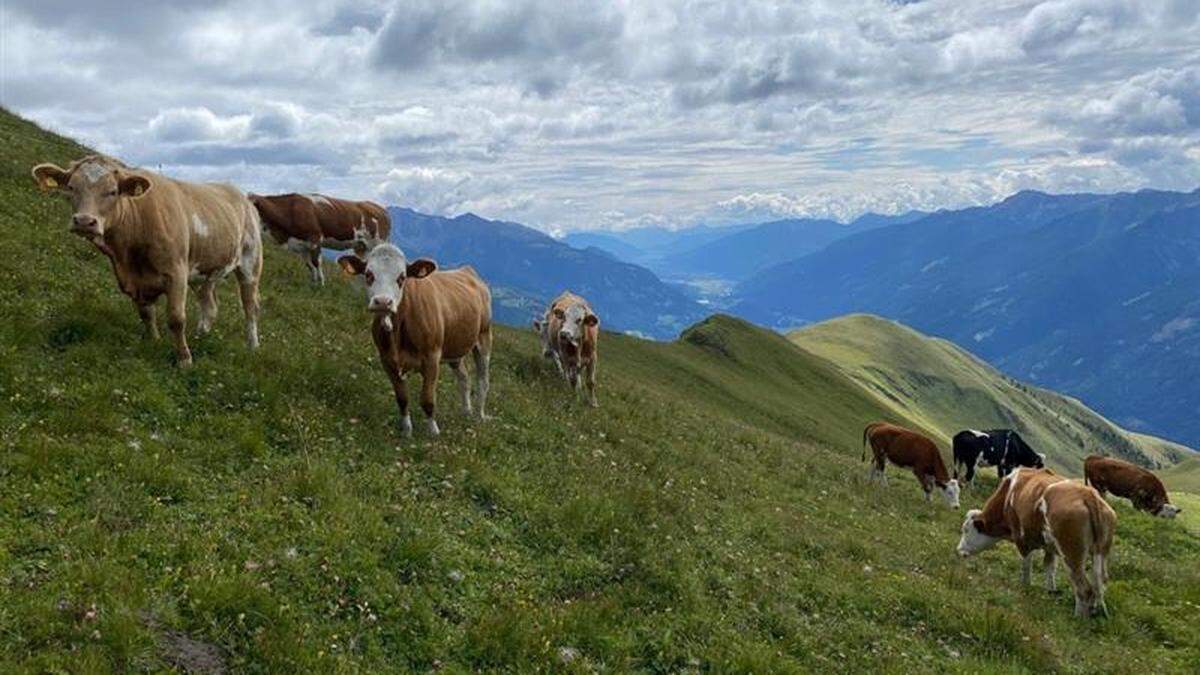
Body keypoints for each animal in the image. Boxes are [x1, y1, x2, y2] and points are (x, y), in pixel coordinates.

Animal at [34, 153, 262, 365]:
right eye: (71, 187)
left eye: (113, 191)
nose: (84, 221)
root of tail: (239, 193)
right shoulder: (134, 280)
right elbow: (146, 314)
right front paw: (154, 342)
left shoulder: (177, 272)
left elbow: (176, 318)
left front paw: (184, 359)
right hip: (205, 272)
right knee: (210, 306)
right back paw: (200, 337)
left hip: (250, 264)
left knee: (250, 307)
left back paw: (252, 346)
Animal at [250, 192, 391, 283]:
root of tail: (380, 209)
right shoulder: (302, 246)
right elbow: (309, 265)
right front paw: (313, 284)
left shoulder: (315, 239)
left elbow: (316, 263)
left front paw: (321, 284)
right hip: (362, 247)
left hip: (377, 243)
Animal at [338, 241, 492, 437]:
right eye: (368, 274)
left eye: (402, 277)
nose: (383, 302)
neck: (397, 334)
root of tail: (467, 270)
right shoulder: (387, 361)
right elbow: (402, 398)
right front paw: (406, 430)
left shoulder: (432, 358)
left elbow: (427, 399)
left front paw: (433, 432)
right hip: (455, 348)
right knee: (464, 378)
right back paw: (466, 412)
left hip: (484, 338)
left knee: (483, 381)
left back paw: (479, 416)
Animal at [955, 468, 1113, 614]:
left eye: (965, 530)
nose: (959, 550)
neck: (1008, 494)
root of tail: (1088, 495)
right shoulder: (1050, 547)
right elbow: (1049, 567)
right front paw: (1050, 591)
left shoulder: (1021, 539)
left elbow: (1026, 565)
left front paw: (1025, 586)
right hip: (1100, 553)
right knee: (1100, 583)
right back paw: (1098, 611)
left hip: (1071, 555)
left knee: (1084, 589)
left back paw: (1078, 616)